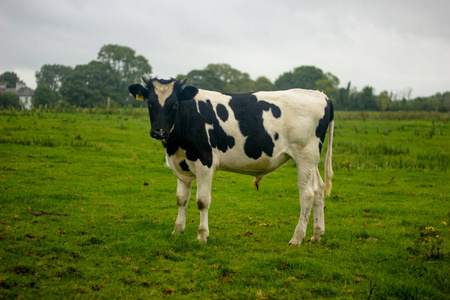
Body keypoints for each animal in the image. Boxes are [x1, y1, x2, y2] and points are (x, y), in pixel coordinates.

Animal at [128, 77, 332, 246]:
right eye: (150, 103)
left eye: (174, 104)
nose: (159, 131)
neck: (175, 144)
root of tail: (321, 95)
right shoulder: (181, 165)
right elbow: (181, 199)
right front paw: (177, 231)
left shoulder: (205, 162)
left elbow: (202, 201)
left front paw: (202, 235)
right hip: (312, 160)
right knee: (319, 189)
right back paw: (317, 235)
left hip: (304, 156)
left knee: (307, 194)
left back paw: (297, 238)